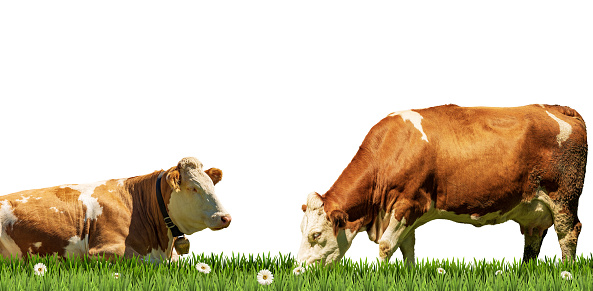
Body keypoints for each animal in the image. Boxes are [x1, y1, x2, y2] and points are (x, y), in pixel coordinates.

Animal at [298, 105, 584, 266]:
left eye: (316, 235)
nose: (298, 270)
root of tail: (560, 108)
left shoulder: (406, 202)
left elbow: (386, 246)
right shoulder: (407, 211)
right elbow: (408, 249)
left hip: (564, 197)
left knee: (568, 233)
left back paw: (566, 274)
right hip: (535, 208)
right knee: (533, 240)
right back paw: (525, 275)